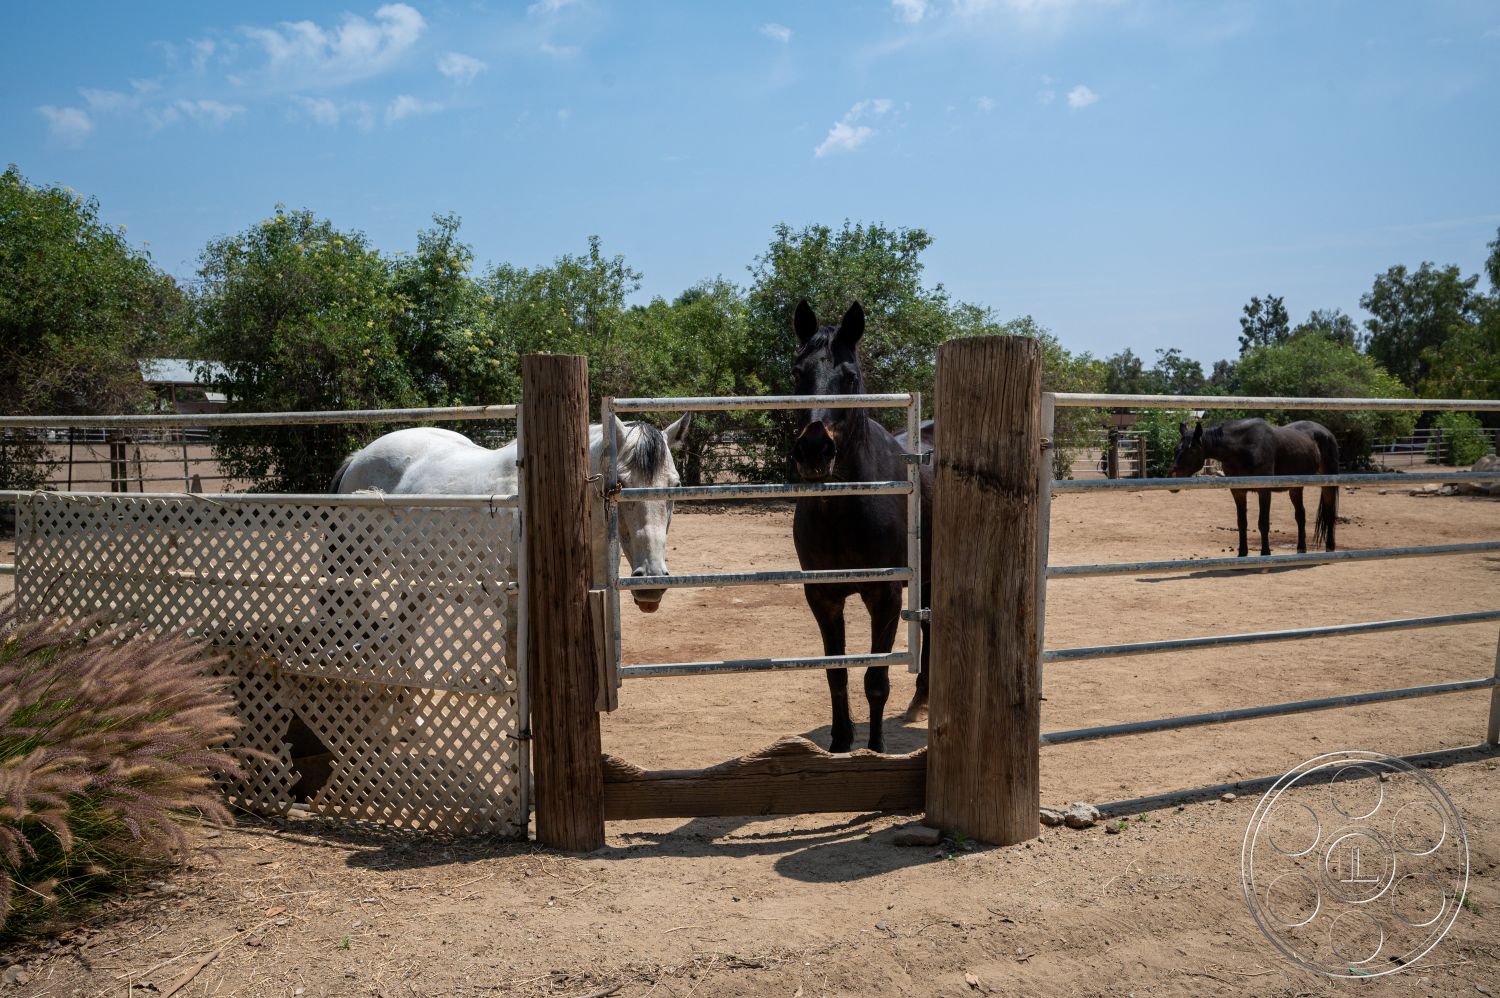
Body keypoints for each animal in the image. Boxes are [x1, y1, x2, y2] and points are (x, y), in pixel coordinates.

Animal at [789, 300, 933, 753]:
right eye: (797, 373)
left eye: (850, 376)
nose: (814, 450)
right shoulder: (822, 596)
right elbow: (837, 672)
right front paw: (839, 745)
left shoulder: (884, 596)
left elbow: (875, 680)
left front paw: (875, 750)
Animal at [1169, 417, 1339, 557]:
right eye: (1176, 449)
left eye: (1191, 450)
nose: (1172, 478)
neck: (1243, 448)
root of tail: (1326, 432)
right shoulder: (1237, 491)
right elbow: (1242, 522)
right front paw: (1242, 553)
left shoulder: (1264, 490)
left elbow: (1263, 522)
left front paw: (1265, 552)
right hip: (1295, 487)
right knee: (1300, 515)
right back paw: (1301, 548)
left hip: (1327, 483)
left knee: (1329, 513)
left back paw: (1330, 547)